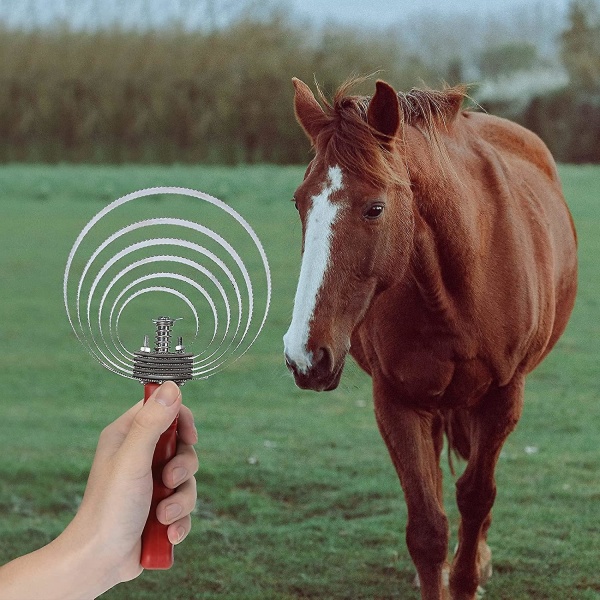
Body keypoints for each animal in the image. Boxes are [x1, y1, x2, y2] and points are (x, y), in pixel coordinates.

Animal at [284, 77, 580, 596]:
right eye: (300, 202)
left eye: (375, 208)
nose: (304, 355)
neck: (458, 283)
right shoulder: (397, 400)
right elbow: (426, 528)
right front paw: (439, 575)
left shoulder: (503, 396)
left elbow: (477, 498)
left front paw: (465, 578)